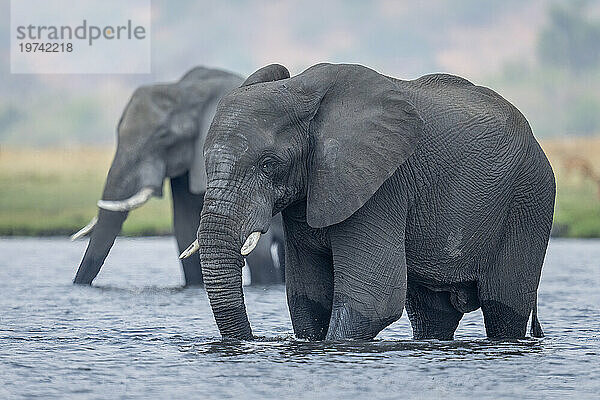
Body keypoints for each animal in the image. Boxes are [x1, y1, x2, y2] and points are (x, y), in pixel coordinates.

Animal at [180, 61, 556, 340]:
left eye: (268, 164)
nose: (253, 339)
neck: (301, 92)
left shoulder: (381, 184)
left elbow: (373, 299)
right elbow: (307, 298)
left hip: (529, 199)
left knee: (503, 306)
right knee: (432, 313)